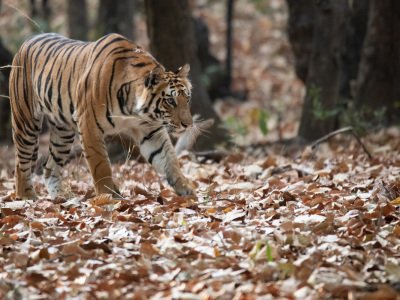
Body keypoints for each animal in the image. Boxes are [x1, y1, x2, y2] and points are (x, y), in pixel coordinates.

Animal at [9, 32, 197, 199]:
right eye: (170, 101)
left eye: (187, 99)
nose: (188, 124)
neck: (133, 110)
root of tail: (26, 42)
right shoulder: (88, 124)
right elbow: (101, 165)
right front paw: (107, 196)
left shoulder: (151, 130)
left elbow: (169, 159)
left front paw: (187, 190)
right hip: (25, 122)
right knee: (20, 162)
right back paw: (27, 196)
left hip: (63, 132)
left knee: (49, 167)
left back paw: (62, 196)